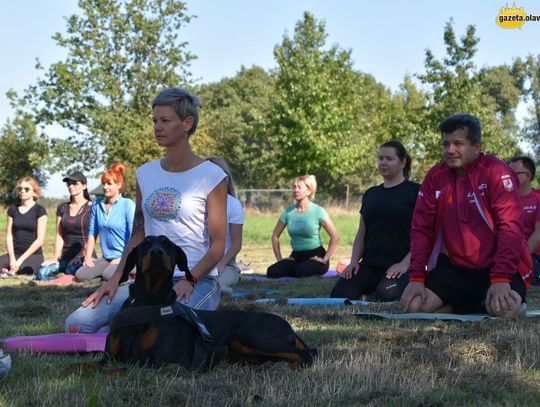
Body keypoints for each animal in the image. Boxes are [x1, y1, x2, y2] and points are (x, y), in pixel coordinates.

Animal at [105, 234, 316, 372]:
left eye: (168, 244)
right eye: (145, 244)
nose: (156, 252)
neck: (147, 301)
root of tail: (287, 325)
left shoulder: (157, 361)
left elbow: (120, 369)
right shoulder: (109, 356)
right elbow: (100, 366)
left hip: (249, 333)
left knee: (308, 352)